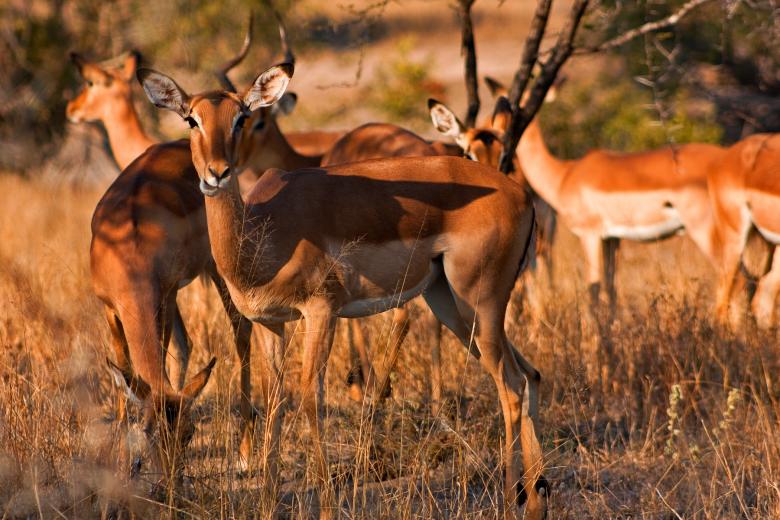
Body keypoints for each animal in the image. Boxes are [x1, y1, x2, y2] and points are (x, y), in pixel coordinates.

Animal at [137, 62, 547, 519]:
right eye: (191, 119)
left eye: (242, 117)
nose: (217, 173)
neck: (263, 234)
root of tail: (521, 195)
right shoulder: (270, 324)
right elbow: (275, 401)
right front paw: (267, 503)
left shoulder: (321, 312)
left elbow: (310, 400)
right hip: (453, 307)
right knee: (530, 375)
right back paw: (536, 499)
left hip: (478, 304)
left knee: (511, 386)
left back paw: (512, 502)